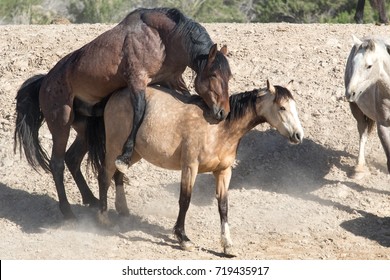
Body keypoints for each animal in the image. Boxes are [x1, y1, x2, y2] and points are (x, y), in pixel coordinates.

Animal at [12, 7, 232, 220]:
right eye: (213, 74)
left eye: (228, 76)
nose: (223, 112)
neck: (163, 38)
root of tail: (45, 82)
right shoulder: (137, 81)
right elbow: (139, 112)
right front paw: (125, 155)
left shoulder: (172, 79)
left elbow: (185, 97)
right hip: (61, 124)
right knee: (57, 163)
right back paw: (67, 212)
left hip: (84, 128)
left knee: (72, 158)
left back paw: (91, 199)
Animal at [89, 79, 304, 256]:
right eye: (282, 107)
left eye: (294, 107)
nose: (298, 135)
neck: (219, 129)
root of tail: (116, 95)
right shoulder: (190, 167)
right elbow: (185, 200)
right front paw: (183, 238)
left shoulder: (223, 172)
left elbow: (223, 206)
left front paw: (227, 245)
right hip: (114, 147)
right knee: (104, 176)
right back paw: (104, 218)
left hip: (133, 153)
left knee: (118, 174)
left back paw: (123, 210)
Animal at [346, 35, 390, 179]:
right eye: (353, 64)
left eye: (369, 66)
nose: (350, 93)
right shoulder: (383, 126)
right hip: (356, 110)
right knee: (363, 132)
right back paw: (359, 168)